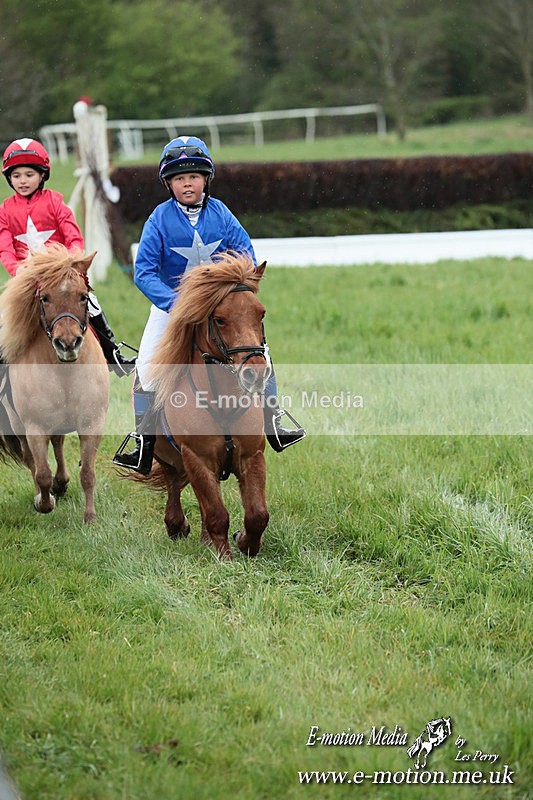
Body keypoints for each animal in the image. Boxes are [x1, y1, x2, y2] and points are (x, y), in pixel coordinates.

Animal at [0, 244, 110, 523]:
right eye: (45, 298)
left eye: (83, 296)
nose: (68, 344)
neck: (65, 371)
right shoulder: (34, 428)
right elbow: (41, 473)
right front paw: (43, 503)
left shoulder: (92, 423)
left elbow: (87, 473)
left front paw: (90, 517)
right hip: (19, 425)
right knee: (32, 460)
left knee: (58, 443)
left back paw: (62, 483)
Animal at [135, 252, 271, 560]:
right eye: (219, 319)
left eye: (261, 313)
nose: (255, 373)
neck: (223, 402)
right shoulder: (197, 458)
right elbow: (216, 514)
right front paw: (224, 557)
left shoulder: (252, 456)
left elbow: (257, 514)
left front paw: (244, 542)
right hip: (168, 456)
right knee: (174, 484)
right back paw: (178, 525)